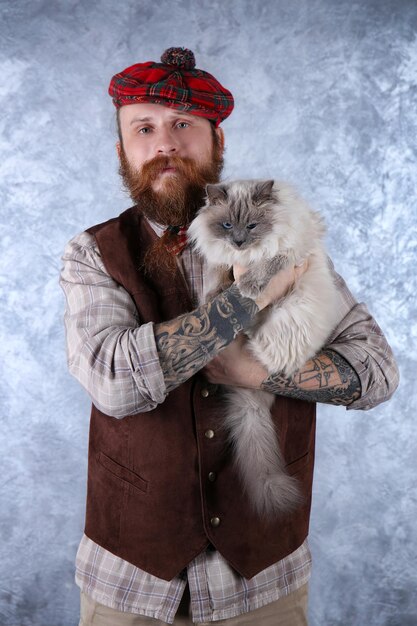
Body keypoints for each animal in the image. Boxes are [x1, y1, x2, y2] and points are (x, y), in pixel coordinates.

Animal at [187, 179, 340, 516]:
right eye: (227, 225)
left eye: (252, 226)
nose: (239, 242)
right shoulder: (222, 261)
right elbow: (217, 278)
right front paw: (213, 300)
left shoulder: (288, 250)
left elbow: (267, 265)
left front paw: (247, 287)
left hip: (286, 316)